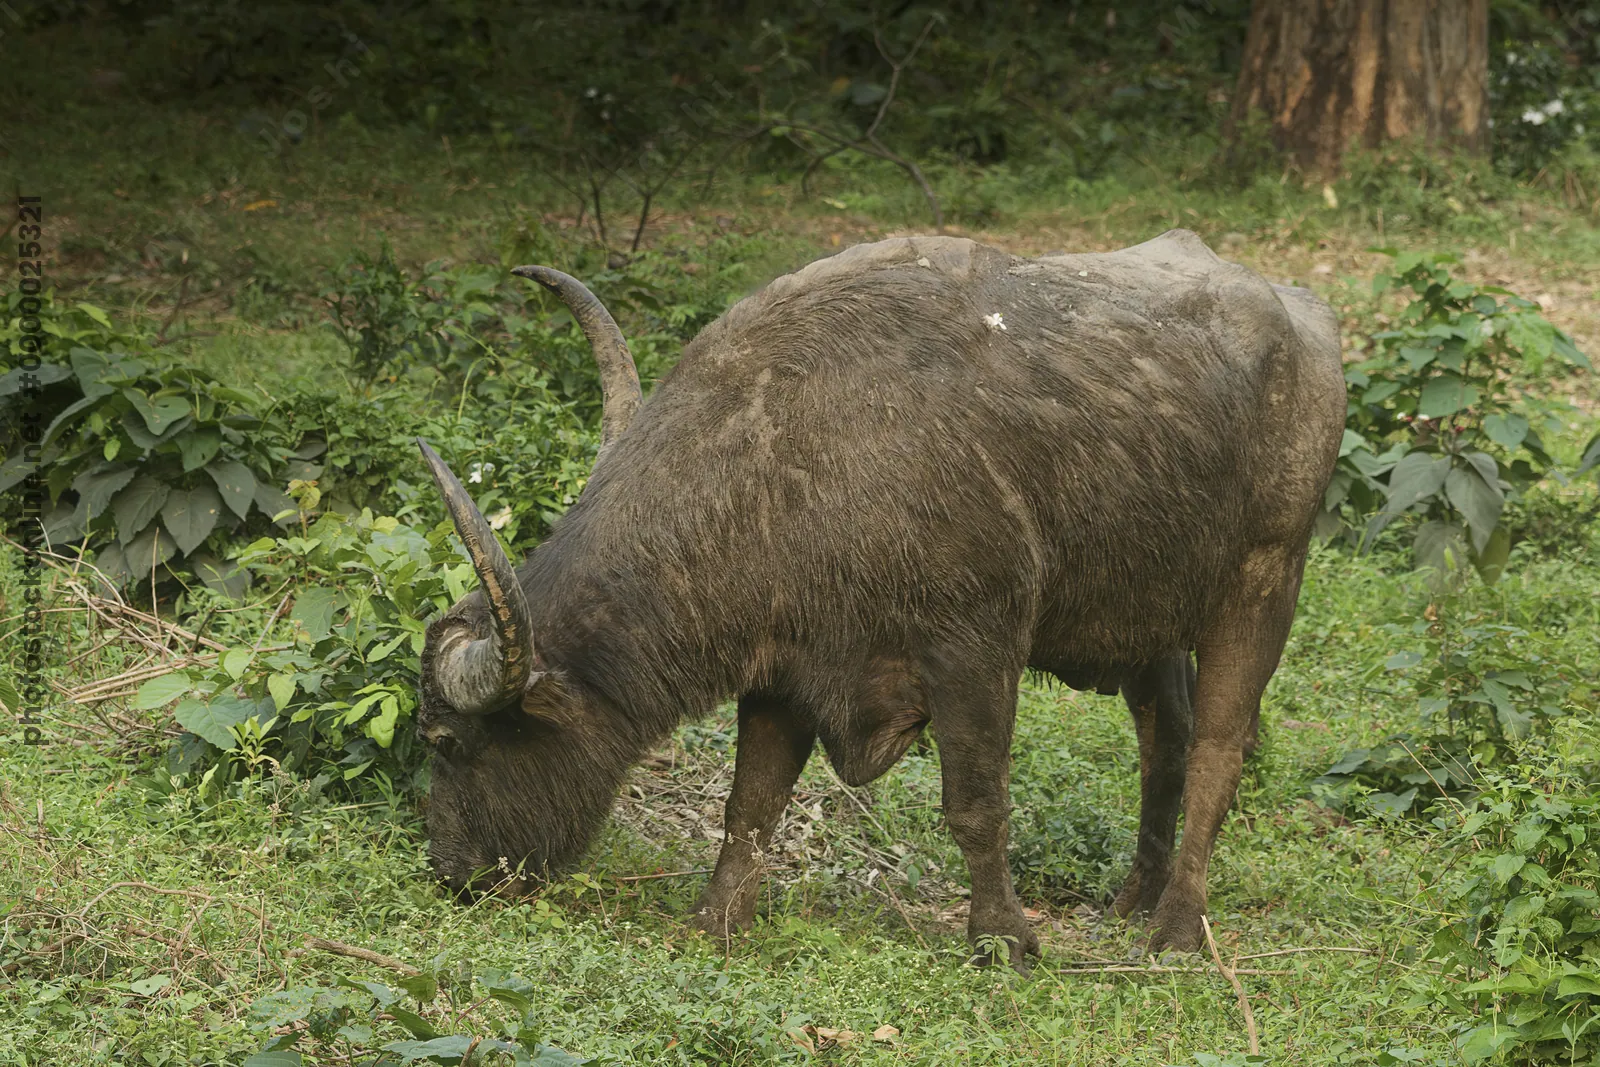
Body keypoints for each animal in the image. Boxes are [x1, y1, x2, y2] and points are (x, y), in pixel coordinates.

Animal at [414, 230, 1344, 966]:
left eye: (447, 741)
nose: (452, 873)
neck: (785, 458)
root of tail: (1307, 319)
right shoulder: (786, 671)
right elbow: (750, 803)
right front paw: (717, 920)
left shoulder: (977, 646)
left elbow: (976, 803)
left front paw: (1004, 936)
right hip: (1144, 618)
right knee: (1166, 737)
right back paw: (1133, 897)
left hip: (1264, 583)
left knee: (1220, 747)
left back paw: (1177, 927)